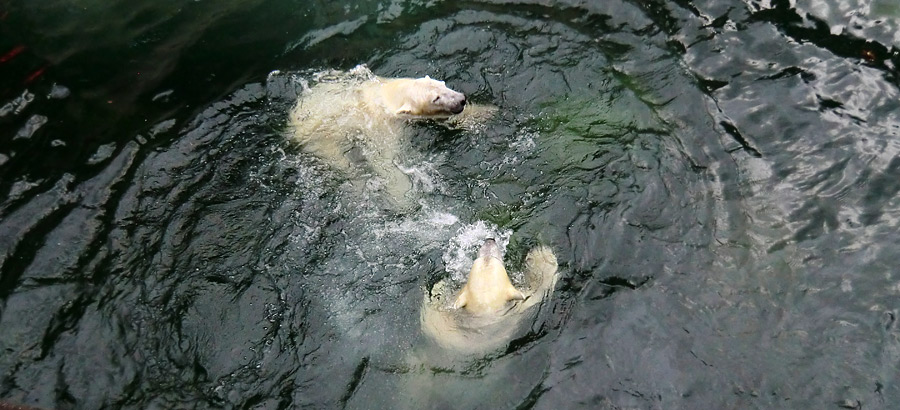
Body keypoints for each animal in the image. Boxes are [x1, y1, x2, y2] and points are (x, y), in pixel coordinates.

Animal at [288, 65, 496, 210]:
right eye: (435, 98)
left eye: (443, 85)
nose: (461, 99)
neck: (387, 95)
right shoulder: (381, 126)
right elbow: (385, 162)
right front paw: (404, 198)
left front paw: (486, 112)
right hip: (321, 137)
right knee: (341, 161)